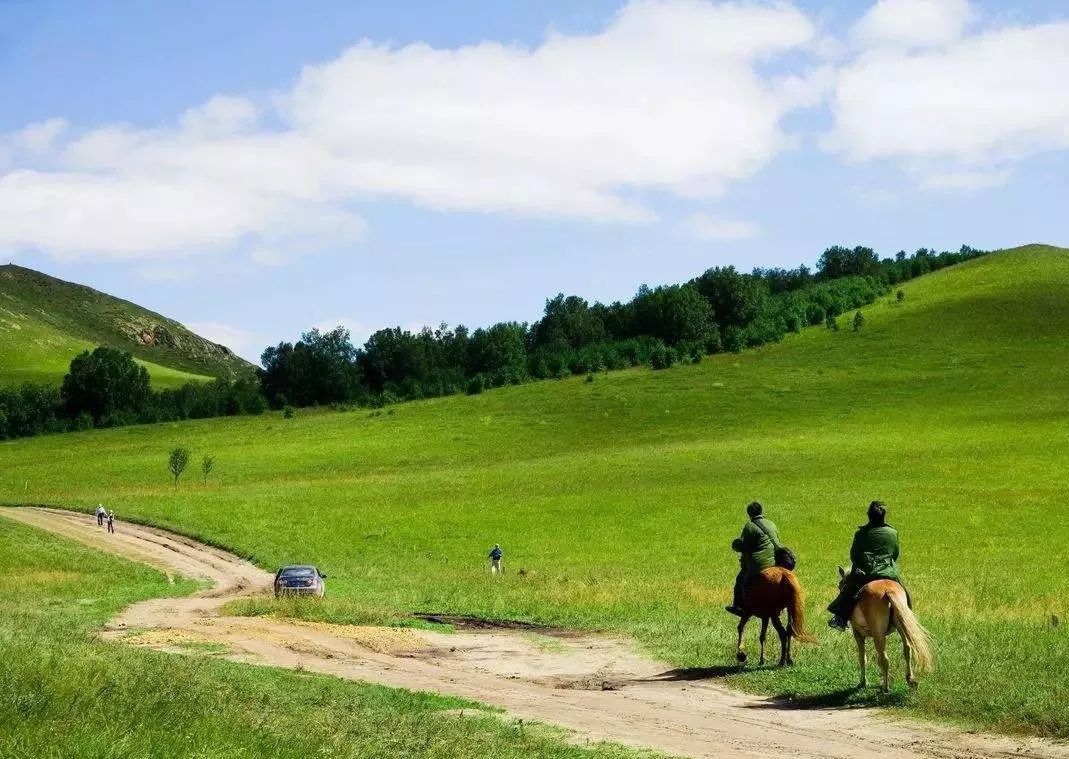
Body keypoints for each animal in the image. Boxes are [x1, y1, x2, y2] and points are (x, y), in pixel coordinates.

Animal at [838, 564, 932, 696]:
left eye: (840, 584)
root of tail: (888, 590)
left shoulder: (858, 634)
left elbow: (862, 658)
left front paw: (863, 683)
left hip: (878, 634)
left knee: (884, 658)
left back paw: (885, 688)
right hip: (901, 626)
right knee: (907, 649)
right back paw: (910, 680)